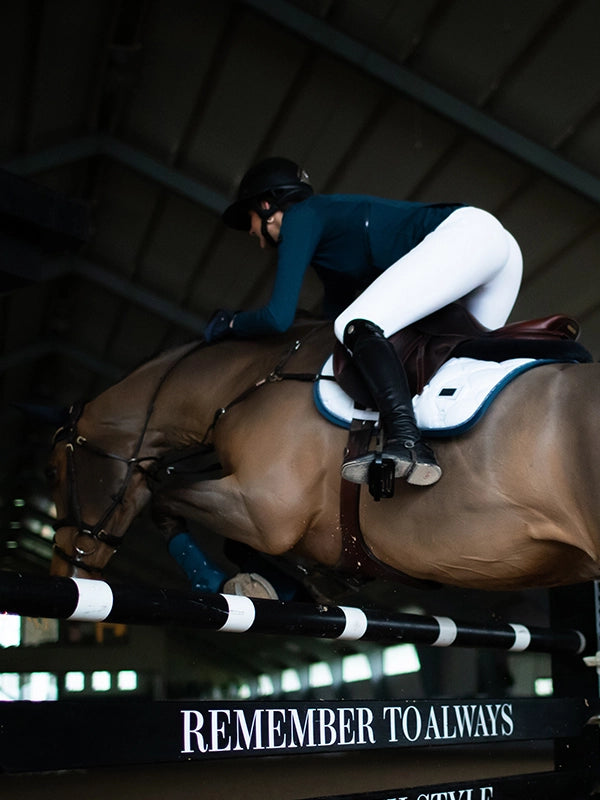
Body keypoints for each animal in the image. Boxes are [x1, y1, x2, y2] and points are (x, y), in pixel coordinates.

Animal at [48, 318, 600, 592]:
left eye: (58, 472)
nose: (64, 572)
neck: (250, 382)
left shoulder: (264, 510)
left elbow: (165, 500)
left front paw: (229, 582)